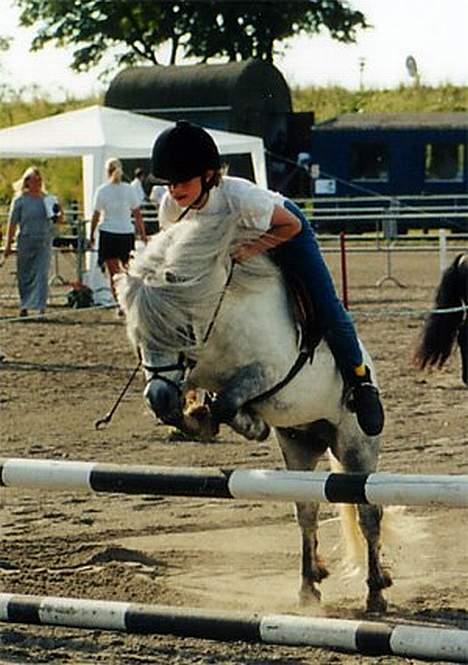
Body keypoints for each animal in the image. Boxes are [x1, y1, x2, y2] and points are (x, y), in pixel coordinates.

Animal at [116, 208, 392, 612]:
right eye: (137, 338)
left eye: (181, 330)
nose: (158, 399)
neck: (220, 316)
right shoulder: (197, 373)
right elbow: (208, 401)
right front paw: (196, 418)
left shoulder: (268, 371)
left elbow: (229, 401)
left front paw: (241, 422)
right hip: (299, 444)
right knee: (306, 512)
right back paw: (309, 585)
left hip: (356, 446)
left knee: (368, 514)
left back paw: (375, 591)